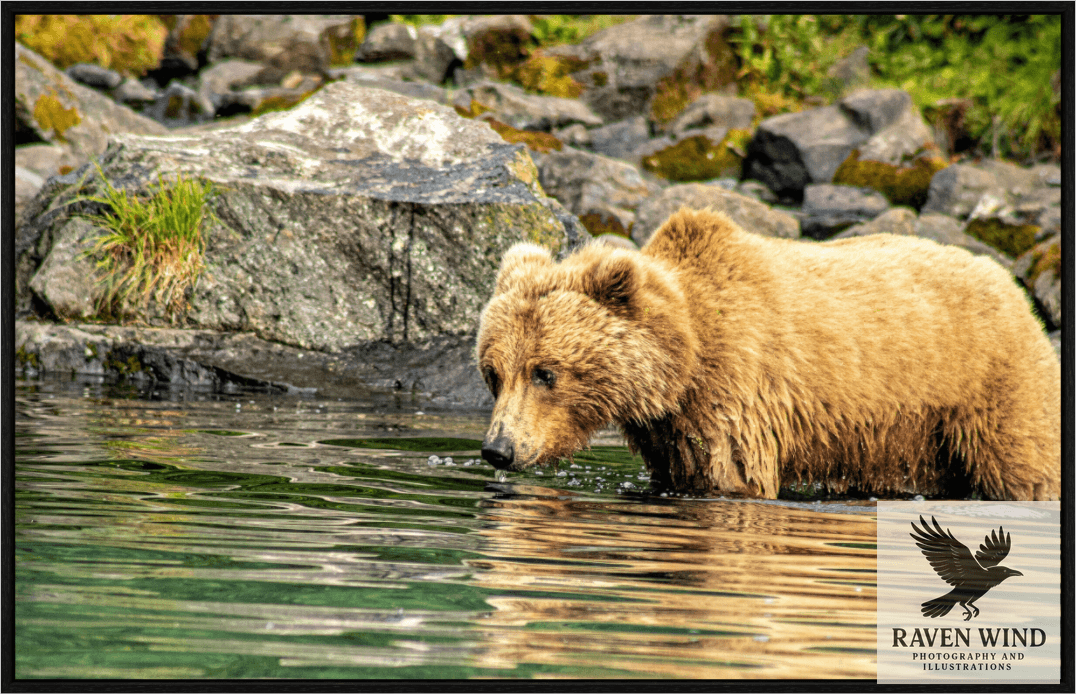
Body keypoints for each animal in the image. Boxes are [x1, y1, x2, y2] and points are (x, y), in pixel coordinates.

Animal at [475, 208, 1061, 500]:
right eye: (493, 374)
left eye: (545, 372)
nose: (498, 449)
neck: (684, 360)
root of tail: (1011, 286)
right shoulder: (672, 430)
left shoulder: (736, 391)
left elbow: (732, 477)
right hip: (911, 437)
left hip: (989, 389)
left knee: (1027, 470)